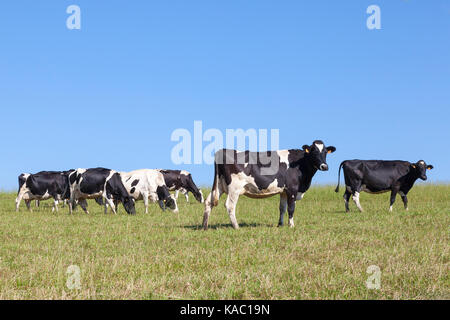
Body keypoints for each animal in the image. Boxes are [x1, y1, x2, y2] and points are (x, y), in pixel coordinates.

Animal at [202, 141, 336, 229]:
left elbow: (282, 208)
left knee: (208, 202)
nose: (324, 166)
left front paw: (280, 224)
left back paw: (204, 226)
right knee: (230, 206)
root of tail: (222, 150)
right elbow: (291, 208)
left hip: (219, 185)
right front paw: (291, 225)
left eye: (325, 152)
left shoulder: (283, 191)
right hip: (234, 188)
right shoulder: (292, 189)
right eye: (314, 152)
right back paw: (236, 226)